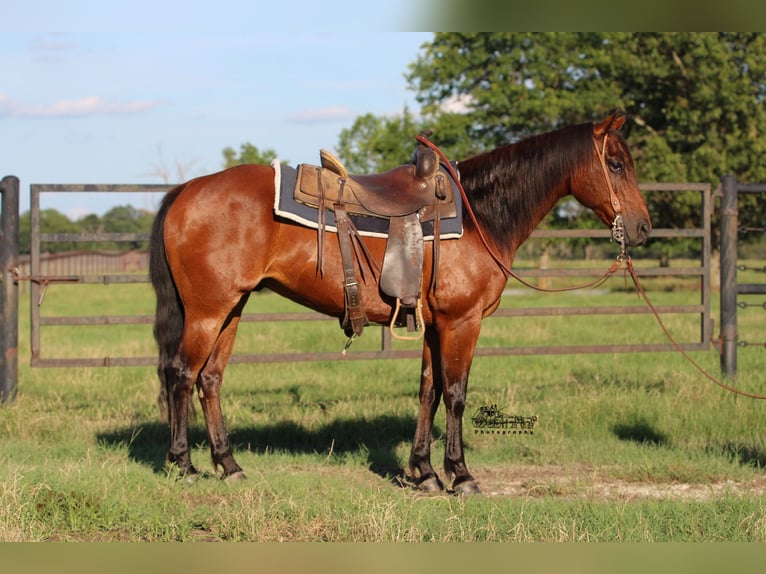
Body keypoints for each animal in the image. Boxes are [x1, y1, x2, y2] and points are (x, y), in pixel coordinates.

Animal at [152, 111, 656, 496]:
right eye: (615, 164)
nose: (643, 228)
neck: (481, 215)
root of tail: (187, 189)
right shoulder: (461, 322)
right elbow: (455, 395)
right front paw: (461, 476)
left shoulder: (435, 325)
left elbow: (428, 392)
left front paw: (425, 472)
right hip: (208, 311)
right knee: (181, 375)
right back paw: (184, 465)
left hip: (231, 309)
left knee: (210, 380)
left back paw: (229, 465)